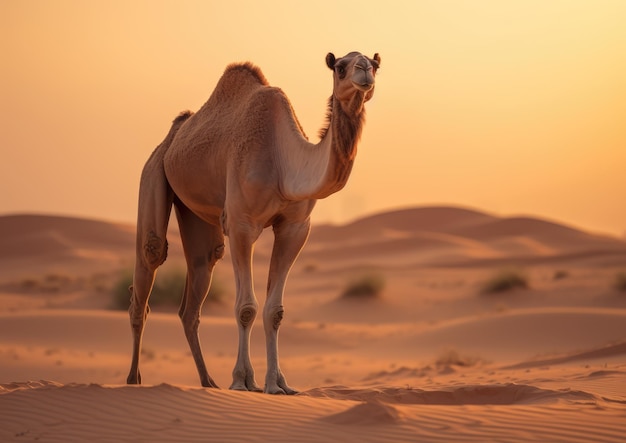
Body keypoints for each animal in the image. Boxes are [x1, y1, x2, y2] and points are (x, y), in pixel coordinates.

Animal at [126, 51, 378, 396]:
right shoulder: (242, 225)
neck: (284, 162)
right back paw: (133, 380)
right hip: (152, 173)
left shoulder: (295, 228)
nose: (364, 72)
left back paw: (208, 381)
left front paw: (278, 384)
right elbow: (246, 307)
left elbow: (275, 310)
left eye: (376, 64)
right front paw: (242, 381)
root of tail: (173, 137)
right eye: (340, 67)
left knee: (198, 282)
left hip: (196, 214)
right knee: (149, 261)